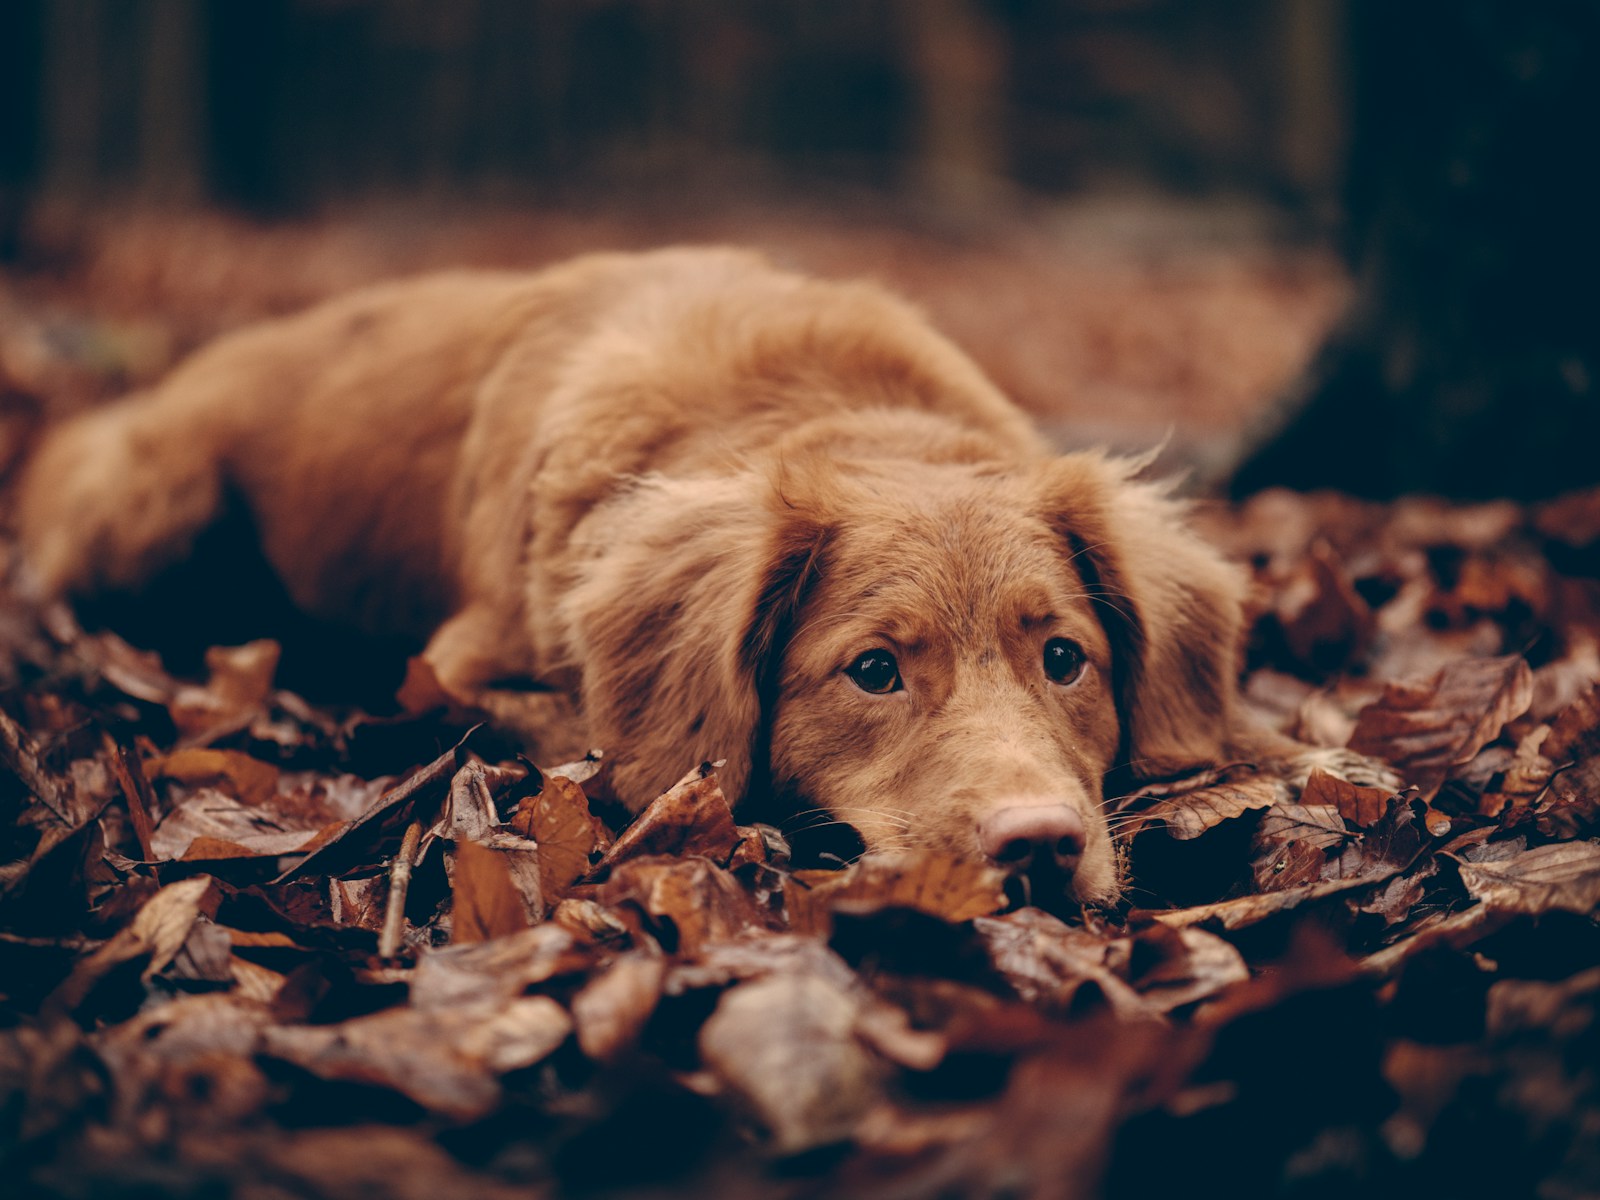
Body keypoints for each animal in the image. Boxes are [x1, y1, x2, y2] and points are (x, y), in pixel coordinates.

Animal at [18, 246, 1254, 902]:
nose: (1040, 846)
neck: (825, 406)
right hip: (152, 504)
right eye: (872, 671)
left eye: (1065, 658)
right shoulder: (463, 661)